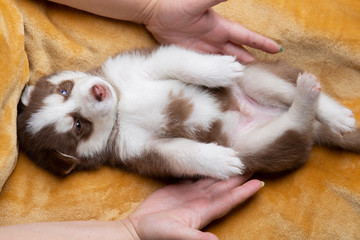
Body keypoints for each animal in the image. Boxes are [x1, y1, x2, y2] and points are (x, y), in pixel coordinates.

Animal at [17, 45, 360, 178]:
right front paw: (218, 161)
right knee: (295, 127)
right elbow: (182, 154)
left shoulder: (143, 63)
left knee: (287, 91)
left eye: (64, 89)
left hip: (256, 79)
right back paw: (305, 101)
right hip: (255, 144)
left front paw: (219, 68)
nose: (99, 91)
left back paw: (332, 111)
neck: (122, 103)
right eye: (79, 126)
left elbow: (183, 62)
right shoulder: (139, 148)